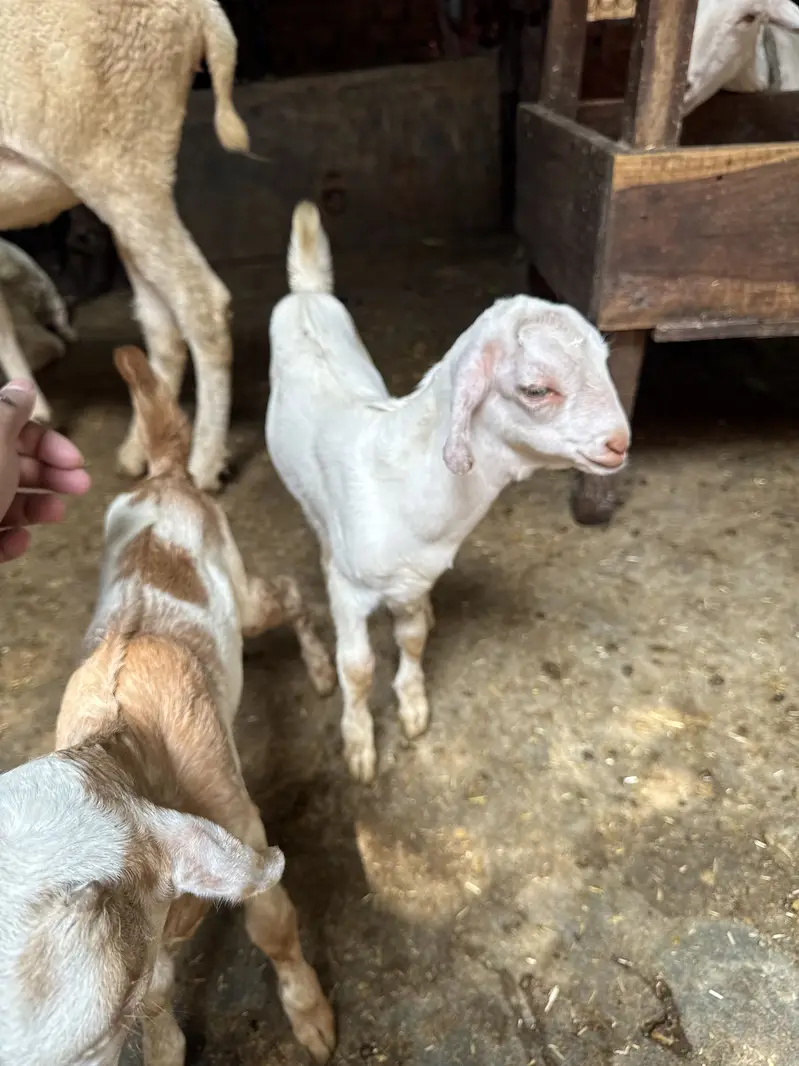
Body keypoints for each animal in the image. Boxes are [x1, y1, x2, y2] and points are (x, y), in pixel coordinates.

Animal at [0, 0, 252, 491]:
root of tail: (201, 11)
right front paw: (34, 411)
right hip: (131, 179)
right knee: (161, 325)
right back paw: (141, 449)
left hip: (119, 160)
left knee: (202, 303)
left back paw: (204, 463)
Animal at [0, 347, 337, 1066]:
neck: (122, 746)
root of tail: (166, 479)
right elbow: (160, 1010)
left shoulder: (235, 820)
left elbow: (273, 923)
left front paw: (312, 1017)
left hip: (242, 591)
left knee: (288, 593)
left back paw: (322, 670)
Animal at [266, 201, 631, 783]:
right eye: (535, 389)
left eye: (603, 360)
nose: (620, 442)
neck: (402, 488)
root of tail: (305, 293)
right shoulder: (351, 591)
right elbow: (357, 667)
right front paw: (359, 742)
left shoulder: (416, 577)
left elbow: (413, 638)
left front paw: (414, 705)